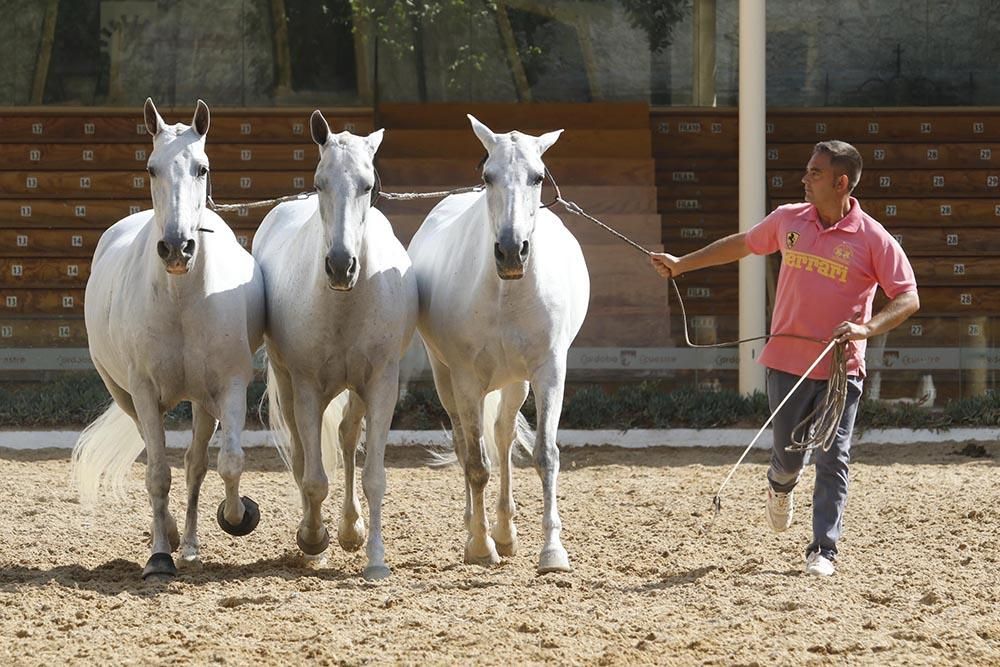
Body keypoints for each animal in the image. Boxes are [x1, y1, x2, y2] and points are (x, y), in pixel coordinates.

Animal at [72, 99, 266, 580]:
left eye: (202, 167)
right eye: (151, 168)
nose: (177, 248)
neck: (182, 300)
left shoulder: (230, 387)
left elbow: (229, 462)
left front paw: (239, 516)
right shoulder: (143, 391)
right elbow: (158, 473)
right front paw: (159, 556)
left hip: (201, 402)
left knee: (196, 465)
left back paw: (192, 545)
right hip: (126, 395)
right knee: (157, 457)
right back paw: (174, 538)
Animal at [256, 109, 420, 580]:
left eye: (367, 185)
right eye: (319, 182)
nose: (341, 265)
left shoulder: (381, 384)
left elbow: (374, 476)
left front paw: (376, 558)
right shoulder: (308, 387)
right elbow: (313, 478)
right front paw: (313, 540)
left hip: (358, 389)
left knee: (347, 439)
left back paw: (351, 529)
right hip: (288, 383)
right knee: (301, 454)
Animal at [408, 115, 588, 576]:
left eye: (538, 176)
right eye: (487, 175)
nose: (511, 251)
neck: (507, 293)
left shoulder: (549, 372)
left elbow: (545, 455)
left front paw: (552, 552)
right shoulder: (467, 379)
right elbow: (476, 463)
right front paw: (479, 546)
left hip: (515, 382)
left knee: (505, 438)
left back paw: (506, 533)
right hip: (446, 379)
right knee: (465, 444)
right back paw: (479, 529)